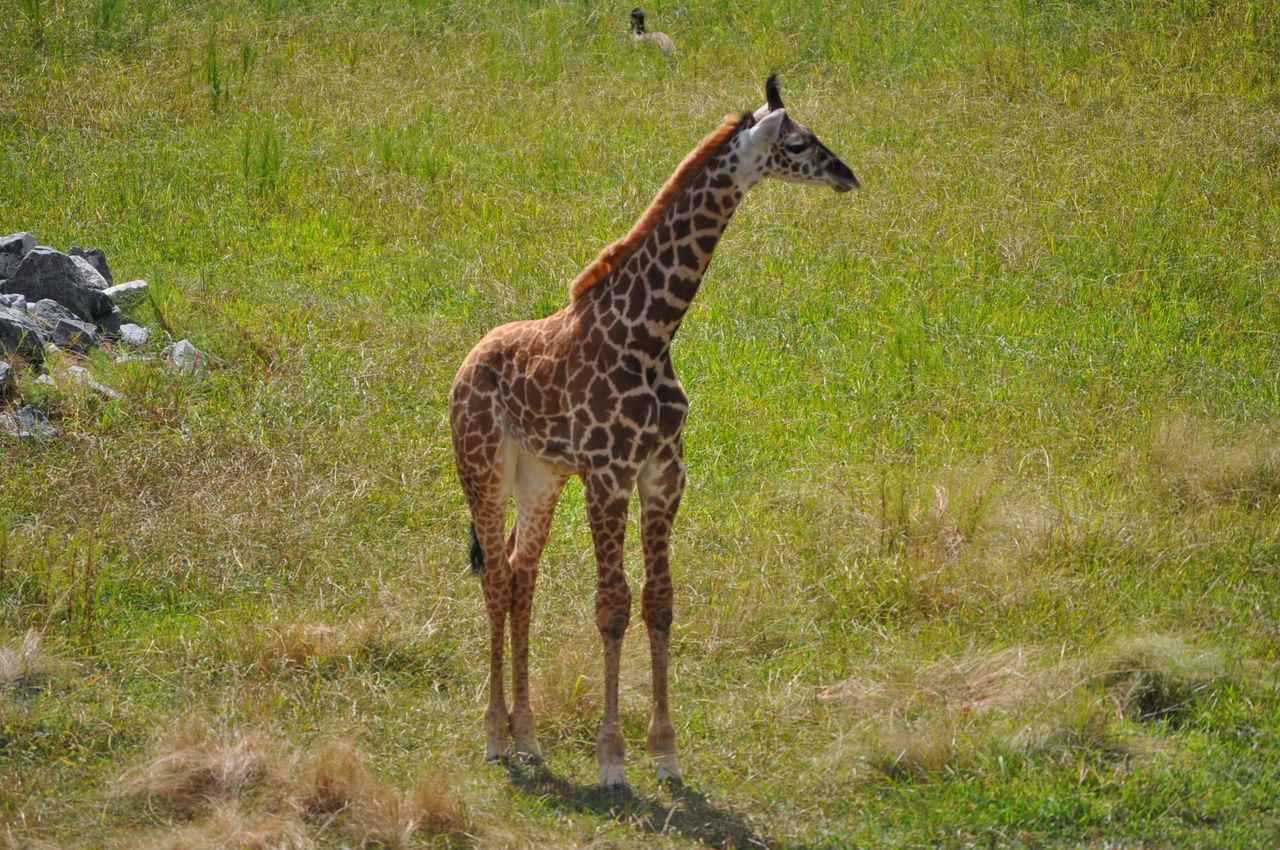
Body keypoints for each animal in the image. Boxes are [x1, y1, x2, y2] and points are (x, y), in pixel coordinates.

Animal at [450, 74, 860, 788]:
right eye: (798, 143)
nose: (847, 175)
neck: (649, 334)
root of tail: (464, 366)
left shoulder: (664, 472)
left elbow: (658, 601)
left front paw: (665, 752)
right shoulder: (608, 474)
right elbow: (611, 607)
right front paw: (612, 759)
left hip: (541, 476)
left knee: (520, 576)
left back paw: (529, 739)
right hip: (484, 469)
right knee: (496, 581)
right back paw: (496, 738)